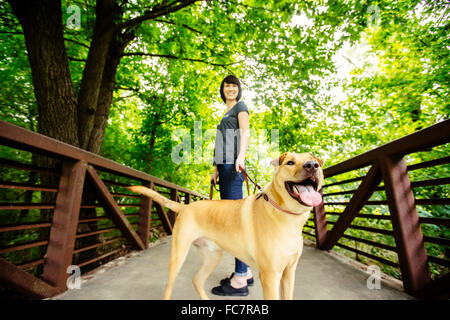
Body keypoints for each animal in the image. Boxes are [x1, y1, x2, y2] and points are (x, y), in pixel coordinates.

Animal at [128, 151, 322, 298]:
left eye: (314, 162)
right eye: (290, 162)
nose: (313, 165)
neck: (287, 216)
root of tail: (185, 206)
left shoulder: (289, 273)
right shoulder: (270, 276)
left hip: (213, 256)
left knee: (197, 280)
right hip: (178, 257)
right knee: (169, 286)